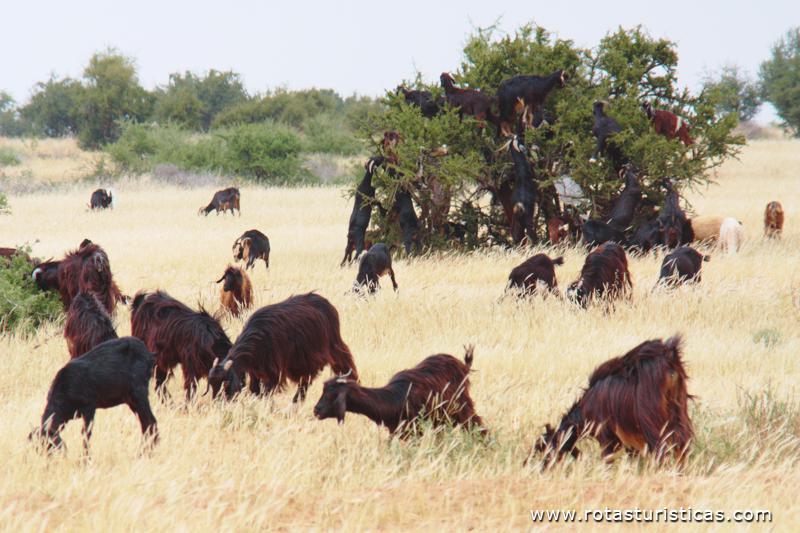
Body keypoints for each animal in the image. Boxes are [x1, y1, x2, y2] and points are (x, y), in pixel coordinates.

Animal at [313, 345, 485, 437]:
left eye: (331, 394)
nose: (316, 410)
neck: (393, 399)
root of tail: (463, 366)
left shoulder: (415, 429)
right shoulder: (397, 431)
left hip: (463, 408)